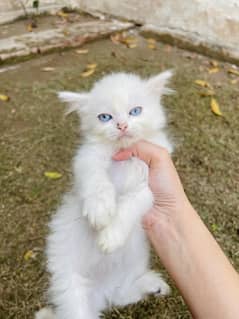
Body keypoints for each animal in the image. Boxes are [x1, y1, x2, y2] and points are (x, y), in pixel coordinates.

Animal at [36, 71, 174, 318]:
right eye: (105, 117)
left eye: (135, 111)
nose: (121, 125)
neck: (124, 155)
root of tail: (100, 291)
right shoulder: (87, 159)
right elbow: (98, 182)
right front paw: (99, 212)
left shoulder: (152, 182)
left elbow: (132, 202)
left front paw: (110, 236)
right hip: (71, 287)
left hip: (134, 262)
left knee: (121, 295)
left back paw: (153, 286)